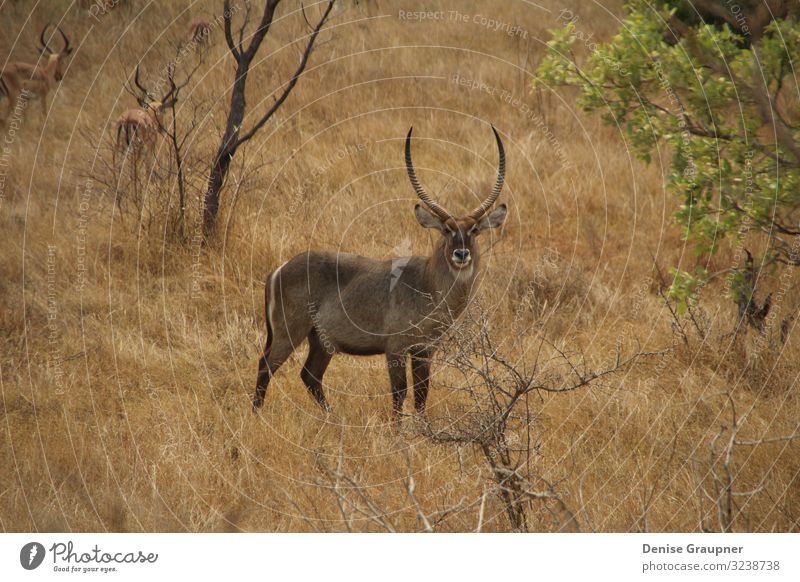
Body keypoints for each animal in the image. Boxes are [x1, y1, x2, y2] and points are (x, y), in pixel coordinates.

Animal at [253, 126, 510, 420]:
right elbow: (400, 392)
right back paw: (257, 415)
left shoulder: (425, 350)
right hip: (290, 331)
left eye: (474, 230)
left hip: (321, 339)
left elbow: (422, 393)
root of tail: (280, 268)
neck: (427, 282)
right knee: (266, 365)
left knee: (310, 375)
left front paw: (422, 427)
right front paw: (398, 429)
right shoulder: (395, 348)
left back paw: (333, 418)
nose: (461, 254)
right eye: (446, 229)